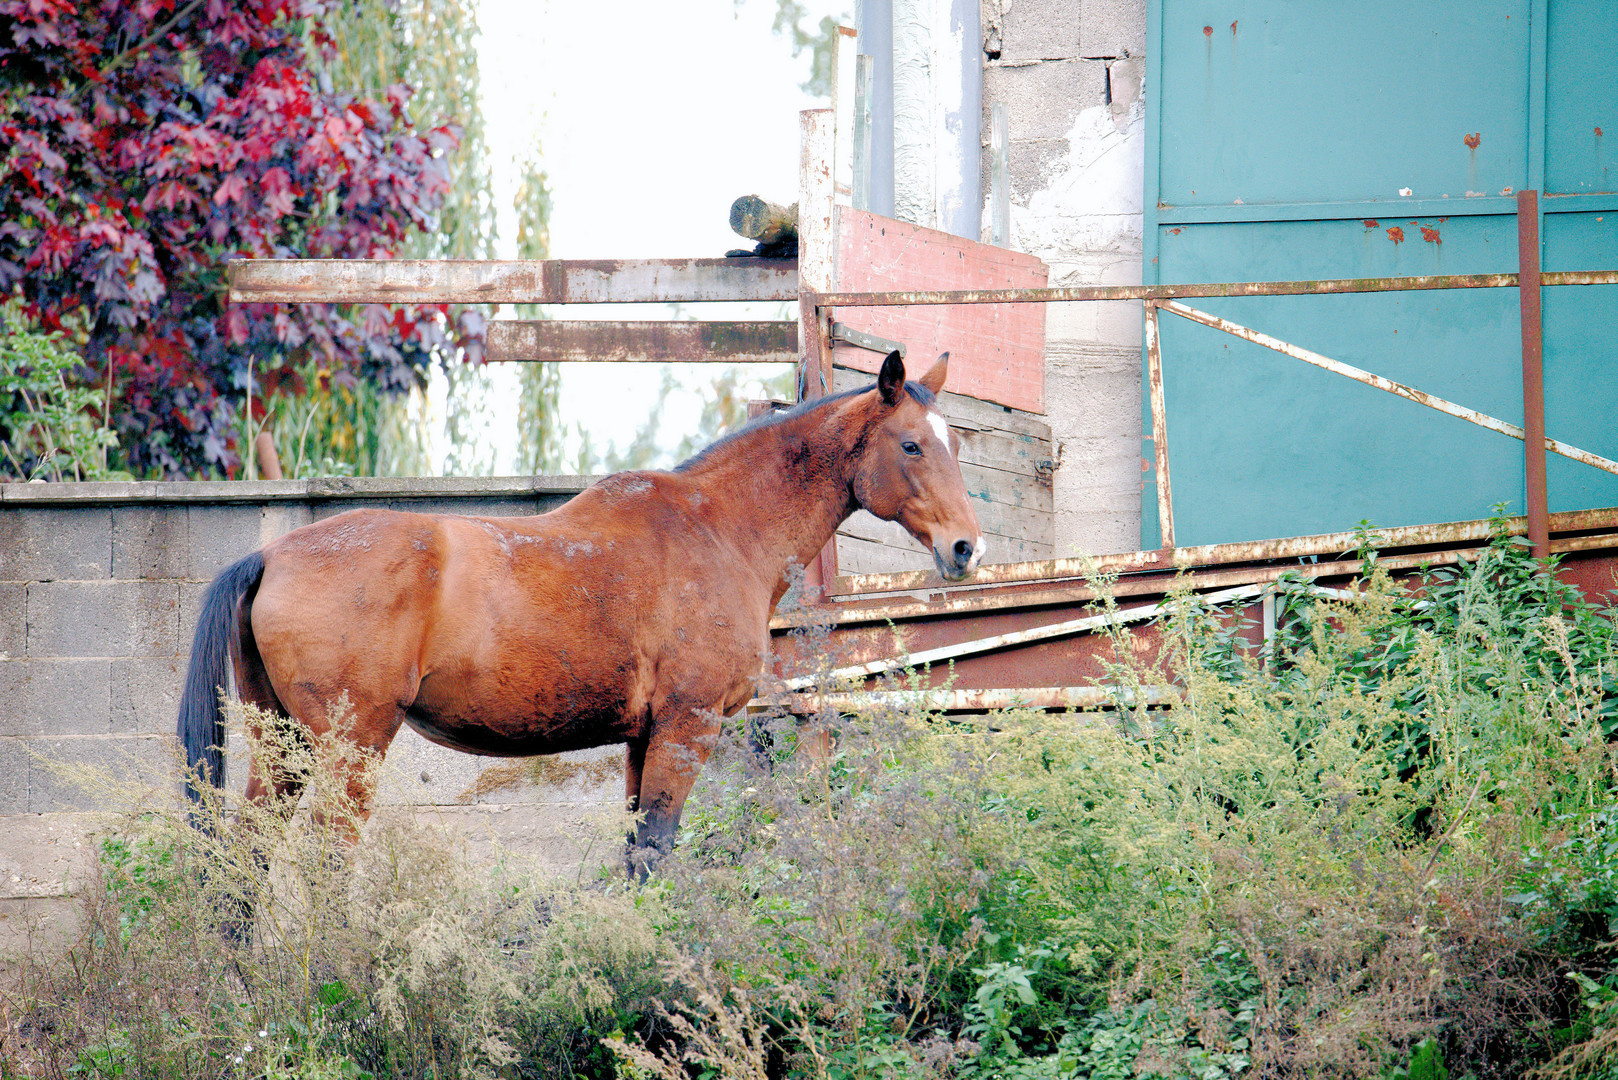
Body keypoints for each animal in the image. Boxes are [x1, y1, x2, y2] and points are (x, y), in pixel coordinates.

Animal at [178, 352, 983, 867]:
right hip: (350, 747)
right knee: (325, 858)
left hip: (284, 745)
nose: (965, 548)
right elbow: (655, 852)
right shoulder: (687, 727)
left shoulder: (643, 737)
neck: (720, 527)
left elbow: (635, 854)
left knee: (247, 852)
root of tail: (272, 556)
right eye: (912, 445)